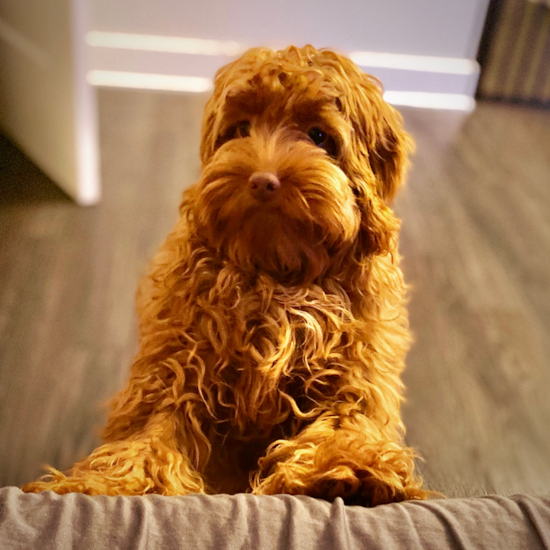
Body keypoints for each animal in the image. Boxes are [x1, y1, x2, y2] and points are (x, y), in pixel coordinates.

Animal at [23, 45, 432, 506]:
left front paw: (346, 467)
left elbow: (348, 414)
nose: (263, 181)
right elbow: (153, 430)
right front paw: (110, 484)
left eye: (319, 136)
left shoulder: (357, 369)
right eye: (240, 129)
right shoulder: (176, 365)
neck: (275, 274)